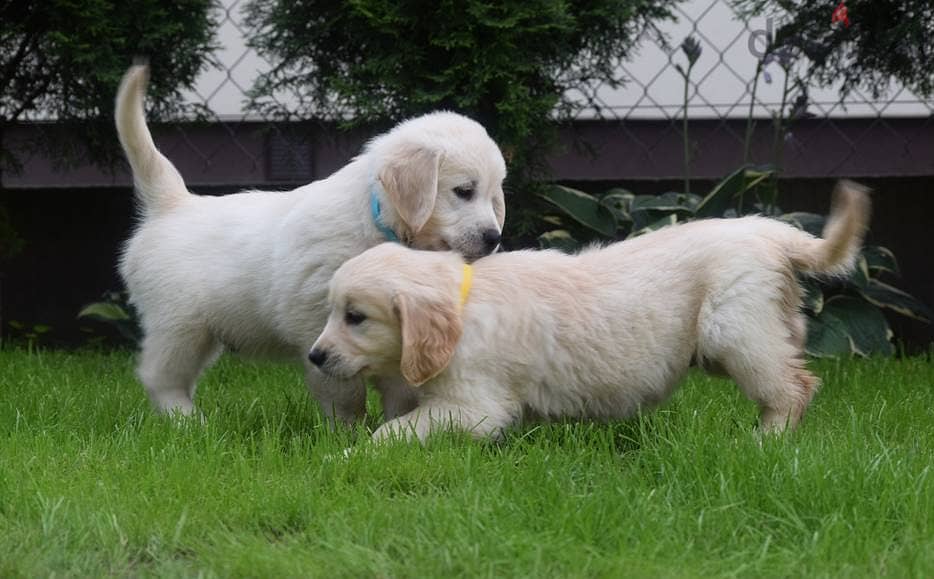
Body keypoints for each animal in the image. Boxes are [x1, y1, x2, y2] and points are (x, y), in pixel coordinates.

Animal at [118, 65, 512, 424]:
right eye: (464, 191)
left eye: (494, 196)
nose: (493, 238)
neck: (377, 220)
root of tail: (175, 203)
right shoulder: (316, 319)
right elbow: (342, 388)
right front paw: (346, 431)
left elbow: (400, 382)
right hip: (179, 324)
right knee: (160, 377)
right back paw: (188, 421)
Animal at [312, 181, 872, 440]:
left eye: (355, 317)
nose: (315, 357)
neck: (462, 302)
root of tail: (768, 230)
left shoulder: (473, 407)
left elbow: (394, 432)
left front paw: (349, 455)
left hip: (735, 328)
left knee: (793, 387)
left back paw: (763, 442)